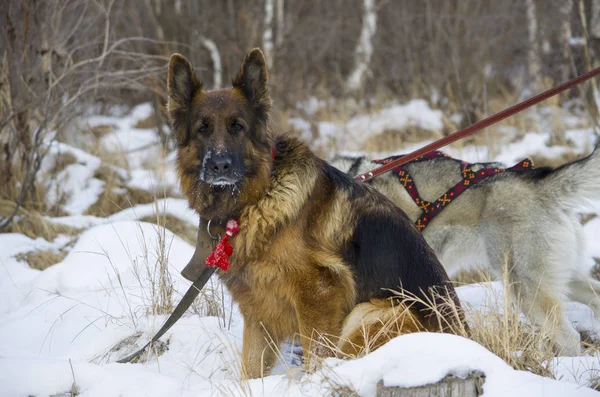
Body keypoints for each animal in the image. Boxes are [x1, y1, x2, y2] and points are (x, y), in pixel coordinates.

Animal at [166, 49, 466, 378]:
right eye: (202, 128)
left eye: (238, 127)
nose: (220, 165)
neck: (257, 197)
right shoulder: (258, 312)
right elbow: (251, 368)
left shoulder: (319, 292)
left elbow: (317, 356)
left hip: (370, 313)